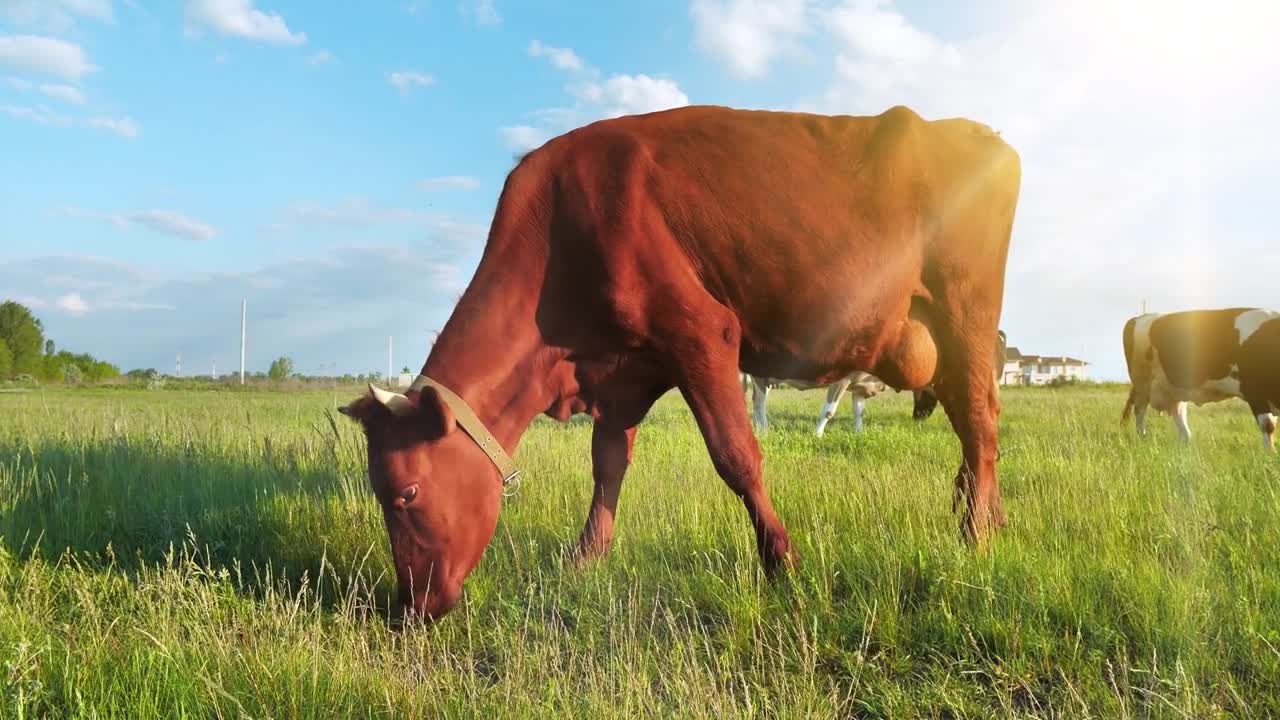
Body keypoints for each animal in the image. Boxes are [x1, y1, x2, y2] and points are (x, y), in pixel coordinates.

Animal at [337, 103, 1018, 620]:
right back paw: (979, 516)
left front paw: (782, 562)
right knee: (969, 427)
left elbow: (736, 456)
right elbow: (607, 464)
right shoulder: (621, 373)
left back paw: (980, 535)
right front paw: (586, 557)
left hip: (967, 313)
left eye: (405, 492)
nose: (410, 607)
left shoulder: (701, 332)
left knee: (981, 422)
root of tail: (976, 133)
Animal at [1121, 304, 1280, 445]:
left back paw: (1186, 441)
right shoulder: (1254, 391)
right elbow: (1267, 424)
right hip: (1142, 382)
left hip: (1175, 388)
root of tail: (1139, 318)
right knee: (1140, 410)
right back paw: (1143, 437)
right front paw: (1269, 453)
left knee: (1178, 412)